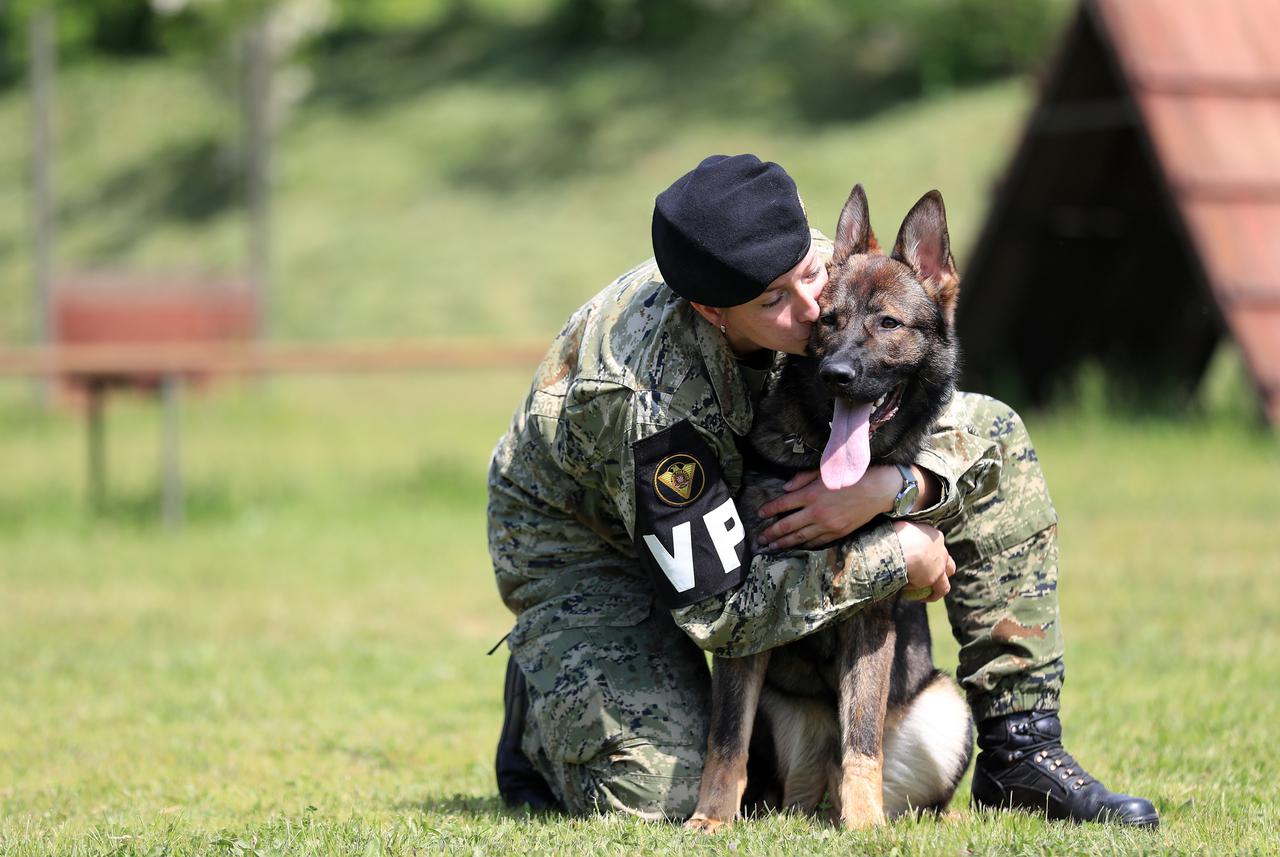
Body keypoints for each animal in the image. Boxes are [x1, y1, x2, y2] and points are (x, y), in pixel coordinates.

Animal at [686, 186, 972, 833]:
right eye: (828, 321)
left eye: (888, 323)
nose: (836, 373)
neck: (822, 457)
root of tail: (816, 789)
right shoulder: (743, 619)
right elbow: (725, 740)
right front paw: (710, 818)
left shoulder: (871, 618)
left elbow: (862, 736)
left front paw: (865, 825)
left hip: (947, 704)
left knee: (897, 785)